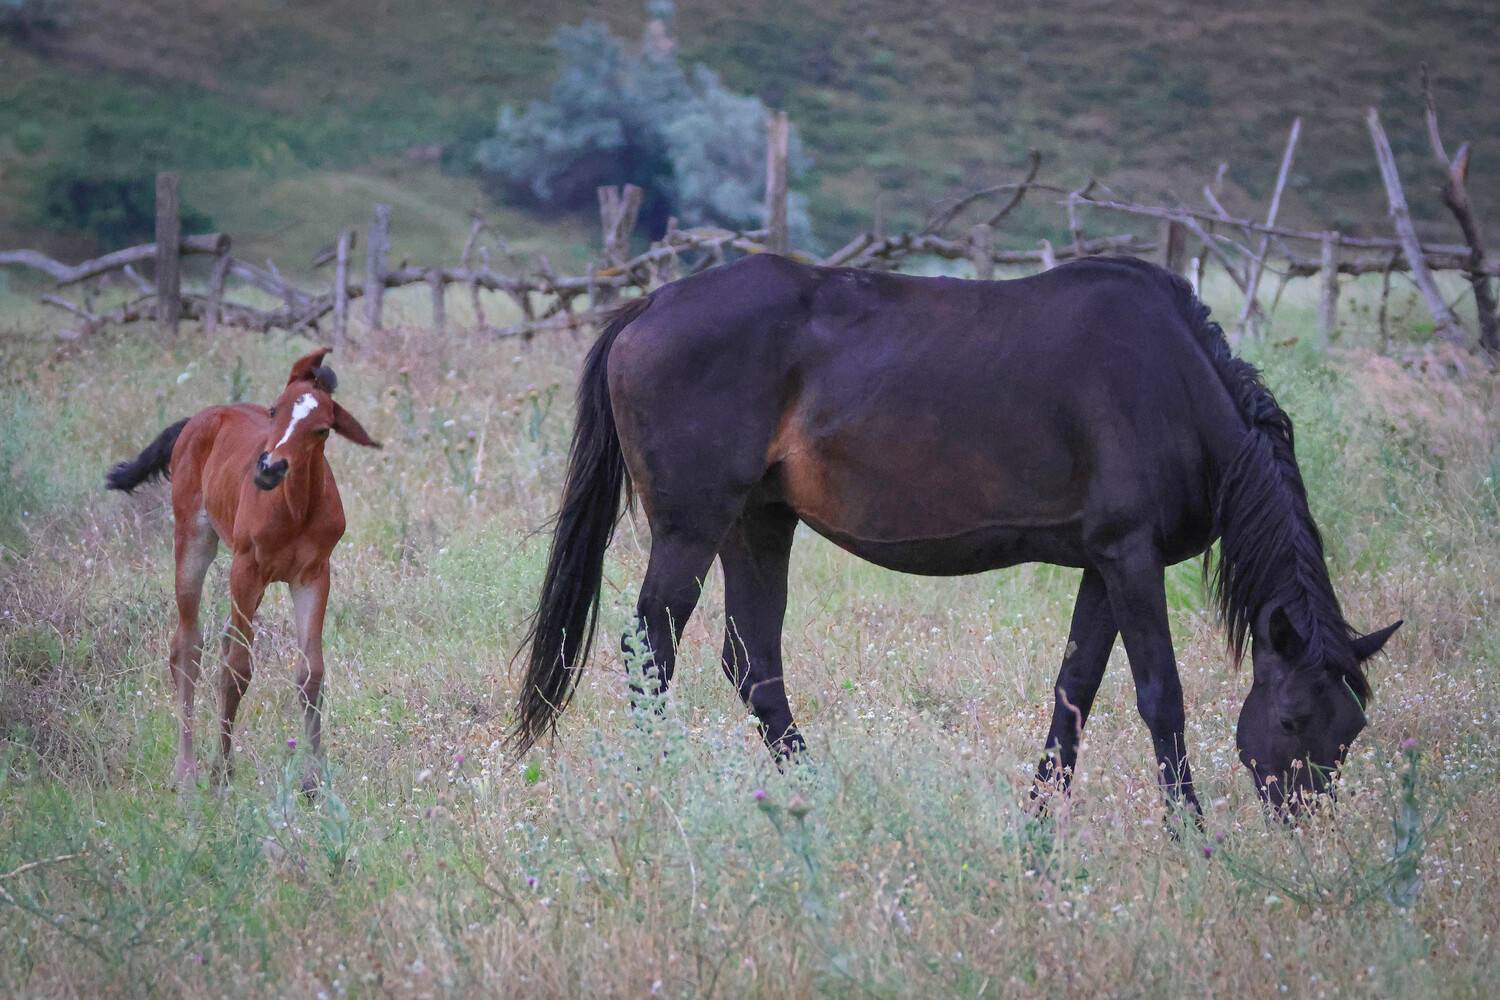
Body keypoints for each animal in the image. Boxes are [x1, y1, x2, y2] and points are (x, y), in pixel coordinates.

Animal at [107, 348, 380, 791]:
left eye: (322, 430)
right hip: (194, 540)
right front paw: (220, 774)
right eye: (274, 409)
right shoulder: (246, 568)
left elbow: (311, 674)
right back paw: (186, 771)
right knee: (187, 646)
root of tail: (199, 418)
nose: (269, 468)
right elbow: (237, 670)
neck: (295, 509)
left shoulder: (313, 575)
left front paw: (314, 780)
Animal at [514, 253, 1401, 814]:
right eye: (1291, 721)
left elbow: (1074, 692)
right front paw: (1189, 835)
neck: (1177, 387)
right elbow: (1161, 698)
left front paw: (1038, 826)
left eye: (1351, 729)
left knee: (752, 664)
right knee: (651, 652)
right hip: (692, 528)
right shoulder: (1130, 558)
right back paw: (655, 788)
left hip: (759, 524)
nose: (1302, 823)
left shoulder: (1103, 566)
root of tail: (648, 306)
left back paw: (816, 795)